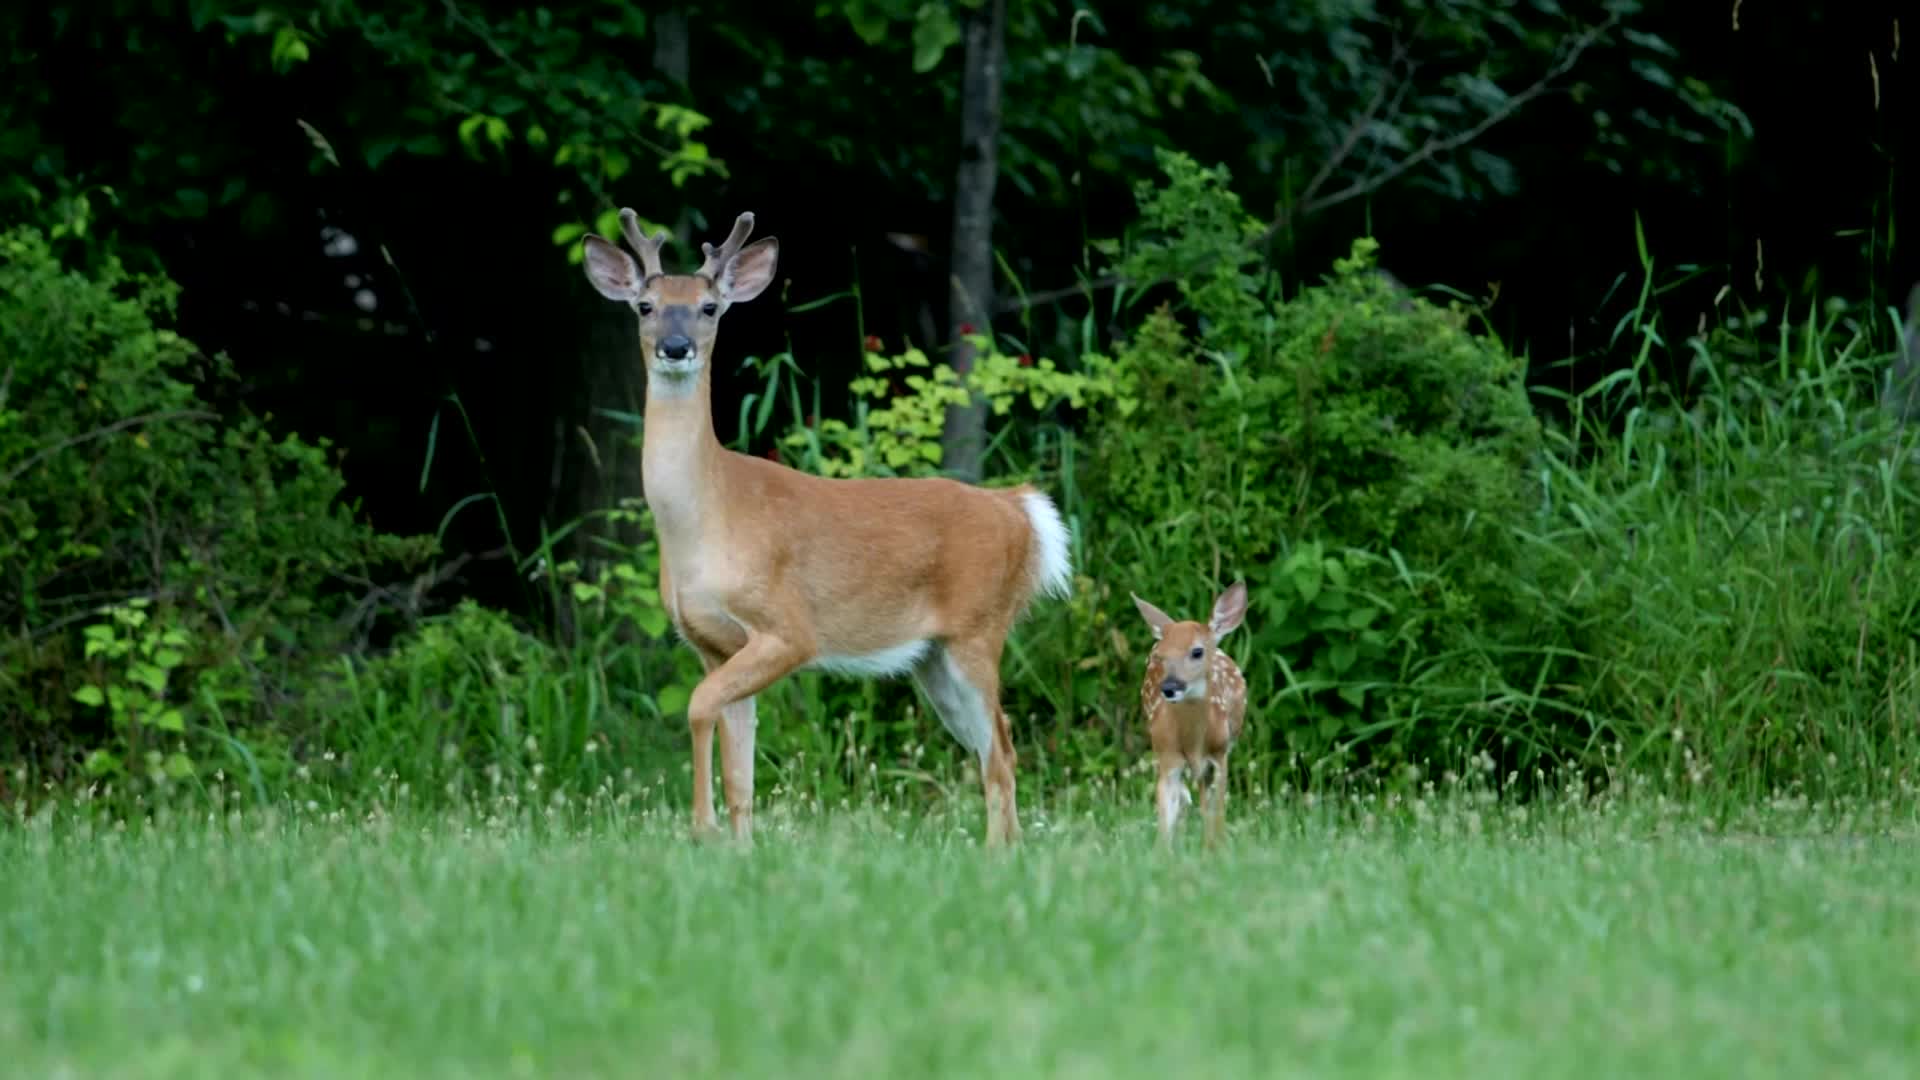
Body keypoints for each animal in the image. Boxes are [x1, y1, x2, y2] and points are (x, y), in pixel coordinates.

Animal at [580, 208, 1073, 848]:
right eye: (645, 305)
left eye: (710, 307)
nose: (676, 346)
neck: (706, 519)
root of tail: (1018, 510)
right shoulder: (713, 645)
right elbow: (740, 769)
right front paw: (738, 847)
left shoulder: (788, 629)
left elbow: (696, 706)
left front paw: (702, 829)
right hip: (934, 657)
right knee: (996, 749)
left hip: (978, 629)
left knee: (1001, 753)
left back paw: (994, 853)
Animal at [1130, 581, 1249, 850]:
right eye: (1160, 655)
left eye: (1196, 651)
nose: (1169, 687)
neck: (1194, 741)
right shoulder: (1167, 755)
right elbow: (1166, 818)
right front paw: (1163, 853)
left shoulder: (1220, 754)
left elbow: (1218, 809)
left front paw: (1217, 848)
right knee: (1189, 801)